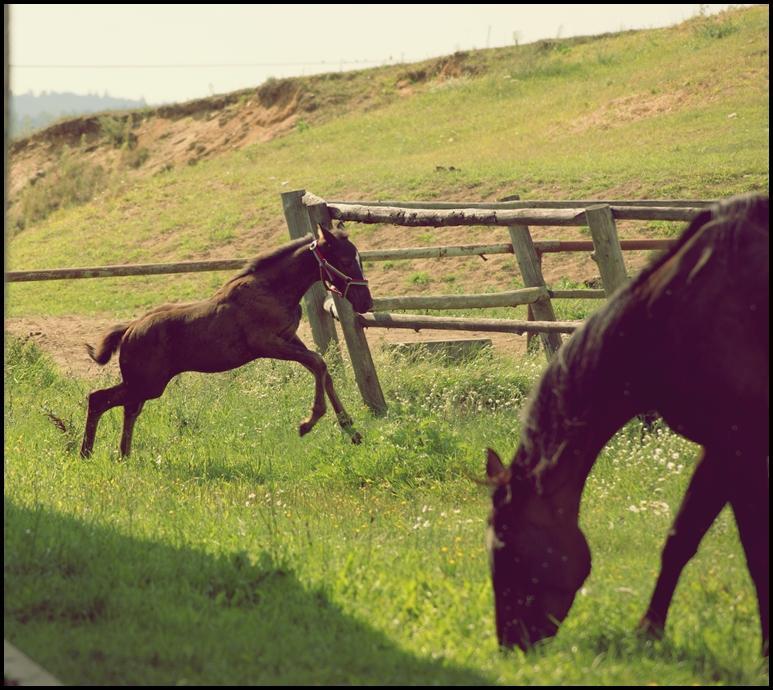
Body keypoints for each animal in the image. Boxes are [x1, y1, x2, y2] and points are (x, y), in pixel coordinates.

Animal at [81, 222, 370, 456]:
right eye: (345, 260)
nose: (366, 302)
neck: (272, 289)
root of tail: (129, 329)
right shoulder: (267, 343)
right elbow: (318, 363)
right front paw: (307, 424)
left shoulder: (291, 338)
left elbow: (321, 369)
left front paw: (352, 430)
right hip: (148, 384)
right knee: (100, 399)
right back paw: (89, 453)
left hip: (144, 384)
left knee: (123, 407)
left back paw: (119, 455)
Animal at [482, 192, 764, 652]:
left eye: (510, 550)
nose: (511, 642)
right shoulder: (724, 449)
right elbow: (680, 540)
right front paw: (649, 631)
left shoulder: (740, 447)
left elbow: (754, 554)